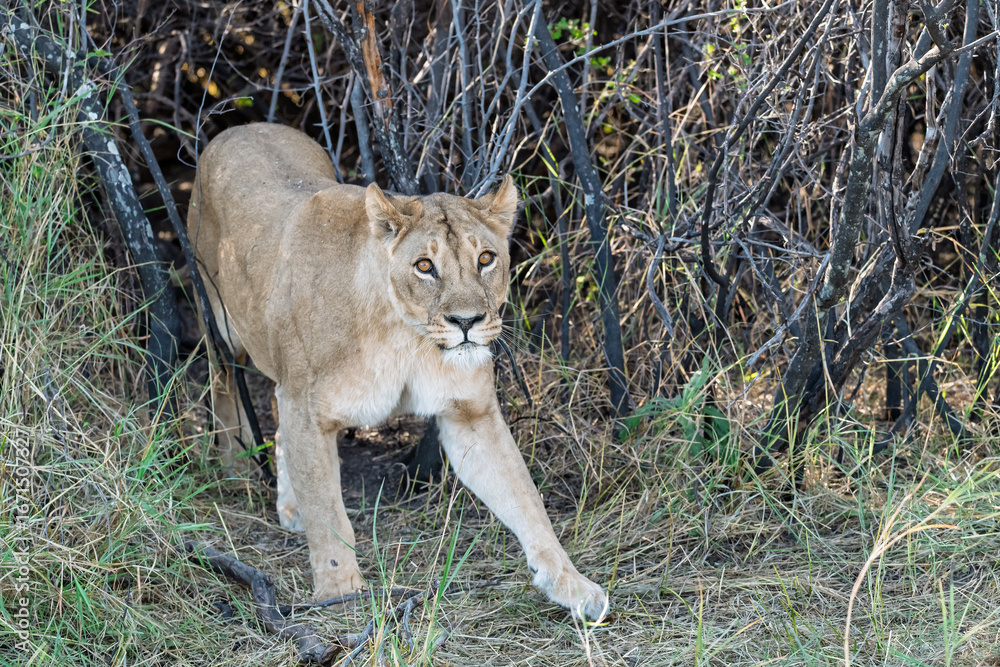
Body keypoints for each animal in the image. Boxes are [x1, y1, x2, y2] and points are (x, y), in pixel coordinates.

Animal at [187, 123, 608, 620]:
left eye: (486, 259)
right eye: (425, 266)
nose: (467, 322)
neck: (407, 337)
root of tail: (242, 126)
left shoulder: (470, 415)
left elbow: (525, 498)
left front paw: (571, 583)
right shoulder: (308, 411)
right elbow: (329, 514)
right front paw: (340, 592)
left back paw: (290, 505)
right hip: (219, 323)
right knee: (225, 387)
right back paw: (234, 466)